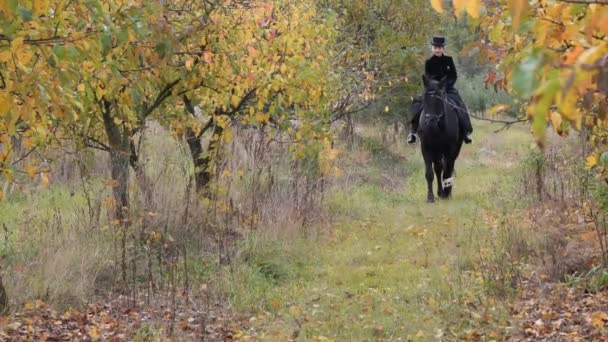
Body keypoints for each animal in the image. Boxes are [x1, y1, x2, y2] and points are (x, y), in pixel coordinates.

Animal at [416, 75, 464, 203]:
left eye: (440, 99)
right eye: (424, 98)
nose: (430, 122)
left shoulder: (450, 149)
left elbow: (447, 170)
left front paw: (446, 194)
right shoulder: (426, 148)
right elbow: (430, 173)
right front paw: (430, 197)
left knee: (447, 167)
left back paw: (446, 192)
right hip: (436, 152)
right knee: (438, 168)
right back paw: (440, 192)